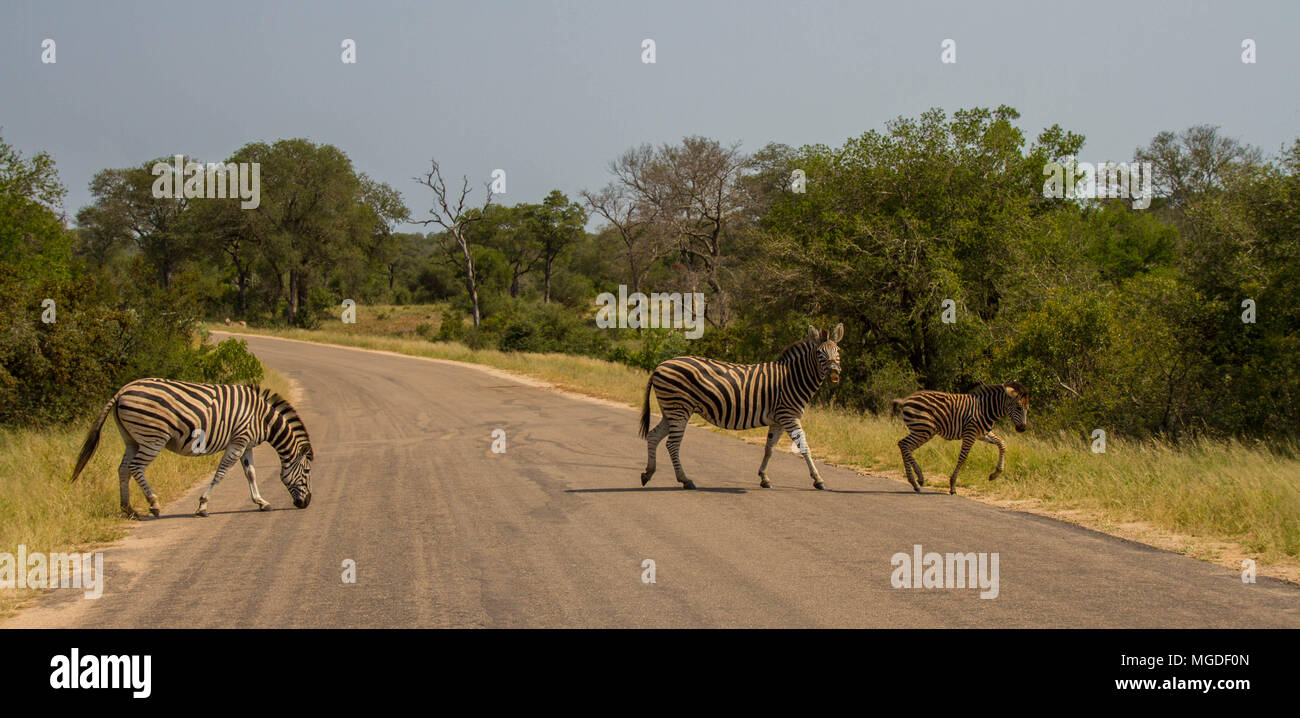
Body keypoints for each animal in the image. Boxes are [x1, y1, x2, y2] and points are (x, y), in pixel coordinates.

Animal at [69, 378, 314, 518]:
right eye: (307, 471)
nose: (306, 503)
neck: (263, 418)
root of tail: (123, 390)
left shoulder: (246, 444)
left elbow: (251, 474)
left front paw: (261, 503)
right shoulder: (238, 441)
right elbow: (221, 473)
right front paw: (203, 507)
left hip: (132, 438)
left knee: (122, 469)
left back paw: (128, 509)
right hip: (152, 438)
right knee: (135, 468)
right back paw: (154, 504)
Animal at [639, 324, 844, 490]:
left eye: (838, 351)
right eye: (819, 353)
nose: (834, 371)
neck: (793, 378)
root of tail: (659, 365)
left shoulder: (778, 419)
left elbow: (769, 448)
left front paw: (764, 478)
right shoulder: (788, 415)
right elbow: (804, 447)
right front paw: (818, 480)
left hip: (670, 411)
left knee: (653, 436)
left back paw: (648, 473)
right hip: (679, 408)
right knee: (672, 444)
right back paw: (685, 480)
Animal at [891, 382, 1029, 495]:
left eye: (1027, 408)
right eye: (1018, 407)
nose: (1022, 428)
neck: (986, 409)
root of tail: (906, 399)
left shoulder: (982, 434)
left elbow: (1002, 444)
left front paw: (995, 474)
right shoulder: (970, 433)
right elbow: (963, 457)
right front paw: (952, 486)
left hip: (922, 430)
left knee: (904, 445)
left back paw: (914, 482)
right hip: (924, 429)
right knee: (904, 444)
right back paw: (919, 478)